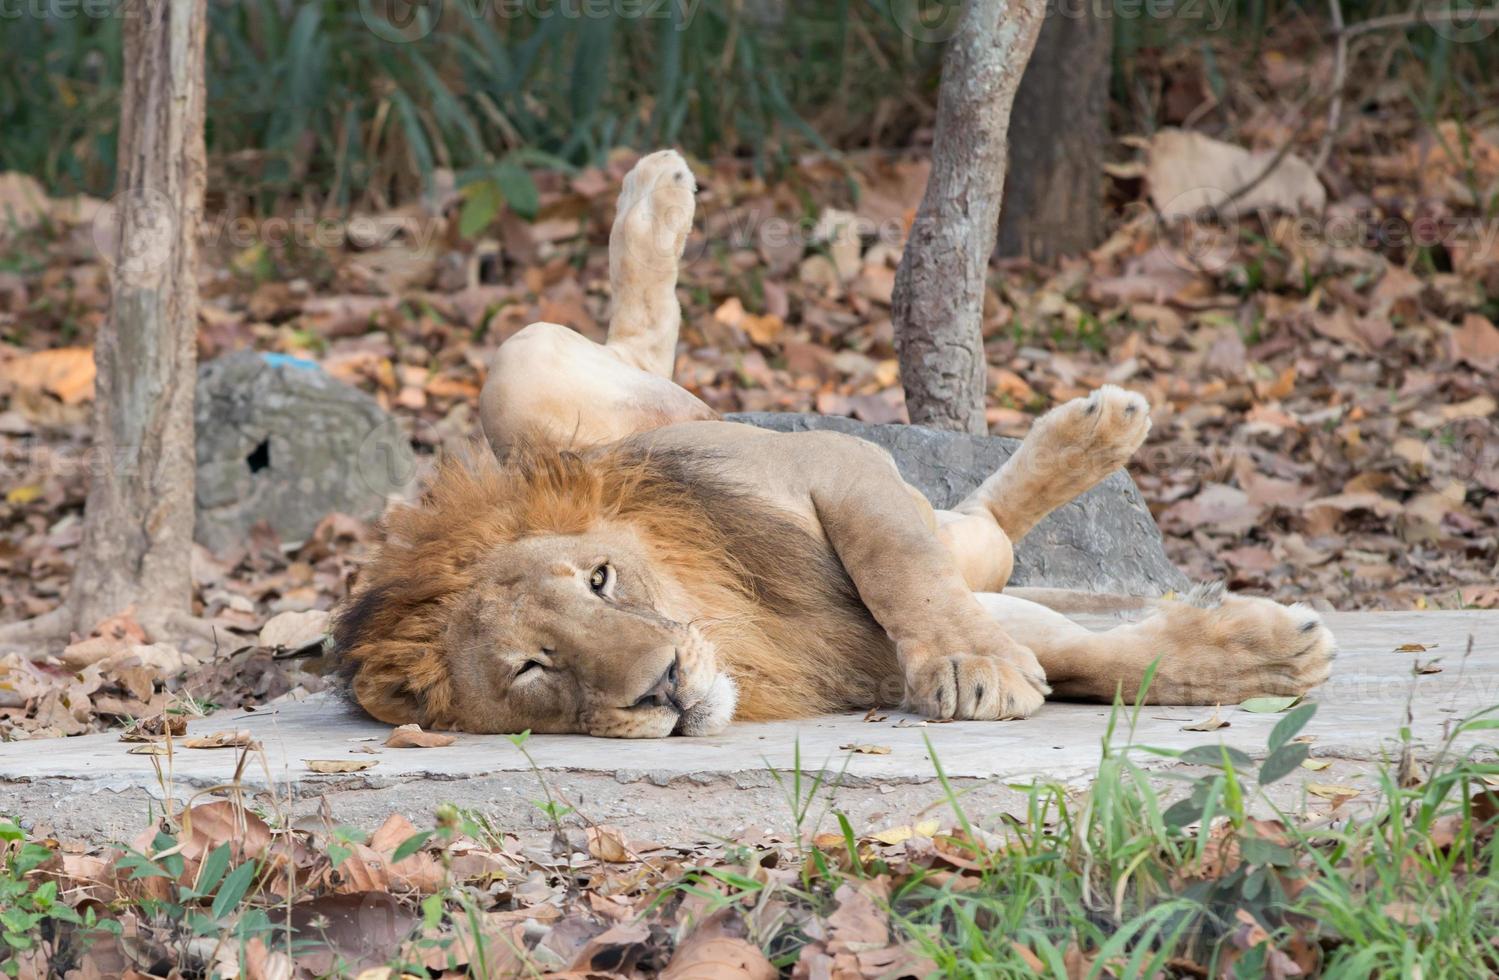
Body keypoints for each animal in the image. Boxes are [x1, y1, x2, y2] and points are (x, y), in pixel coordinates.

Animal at [337, 151, 1337, 737]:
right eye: (531, 668)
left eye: (600, 580)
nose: (663, 684)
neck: (726, 622)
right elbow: (1094, 657)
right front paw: (1263, 657)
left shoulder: (832, 463)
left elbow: (902, 566)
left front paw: (969, 664)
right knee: (981, 534)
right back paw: (1094, 433)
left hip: (531, 366)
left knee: (640, 345)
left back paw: (656, 189)